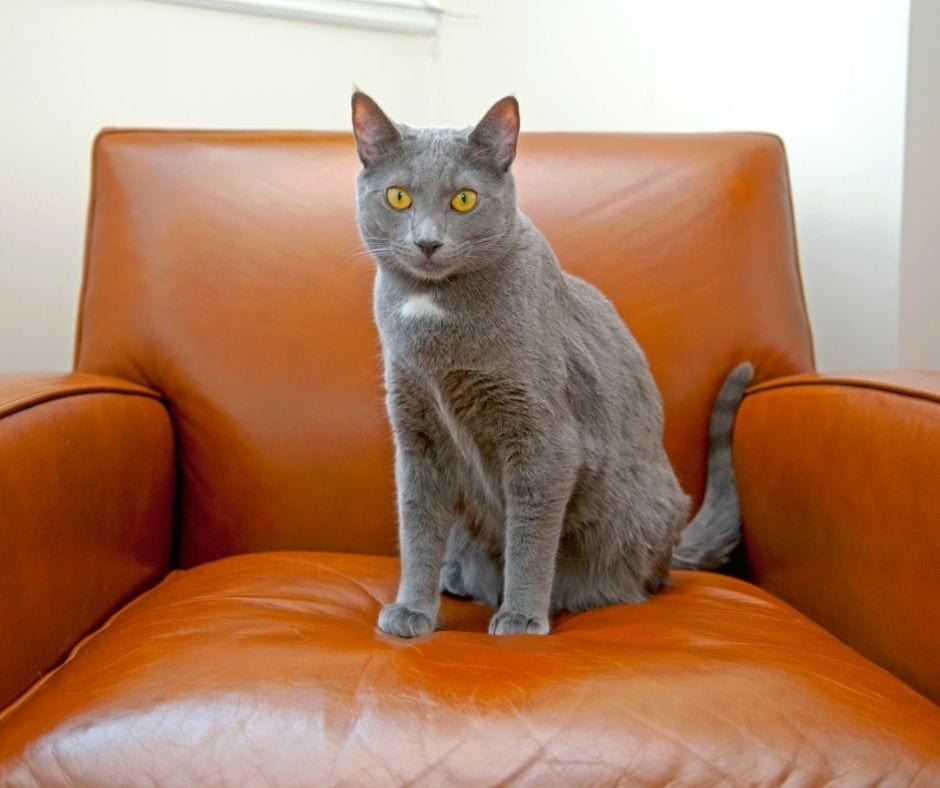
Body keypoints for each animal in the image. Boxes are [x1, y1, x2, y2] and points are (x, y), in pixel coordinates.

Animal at [348, 92, 752, 636]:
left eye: (464, 200)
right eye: (397, 197)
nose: (427, 242)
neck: (434, 312)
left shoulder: (545, 437)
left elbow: (532, 533)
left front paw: (520, 615)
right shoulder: (417, 430)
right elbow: (417, 527)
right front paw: (413, 608)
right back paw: (457, 576)